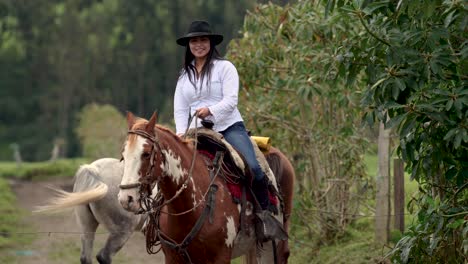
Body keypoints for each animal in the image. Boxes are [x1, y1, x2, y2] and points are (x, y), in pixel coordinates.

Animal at [117, 112, 292, 262]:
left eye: (146, 154)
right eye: (123, 155)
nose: (126, 199)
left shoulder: (221, 256)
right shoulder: (173, 257)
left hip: (276, 243)